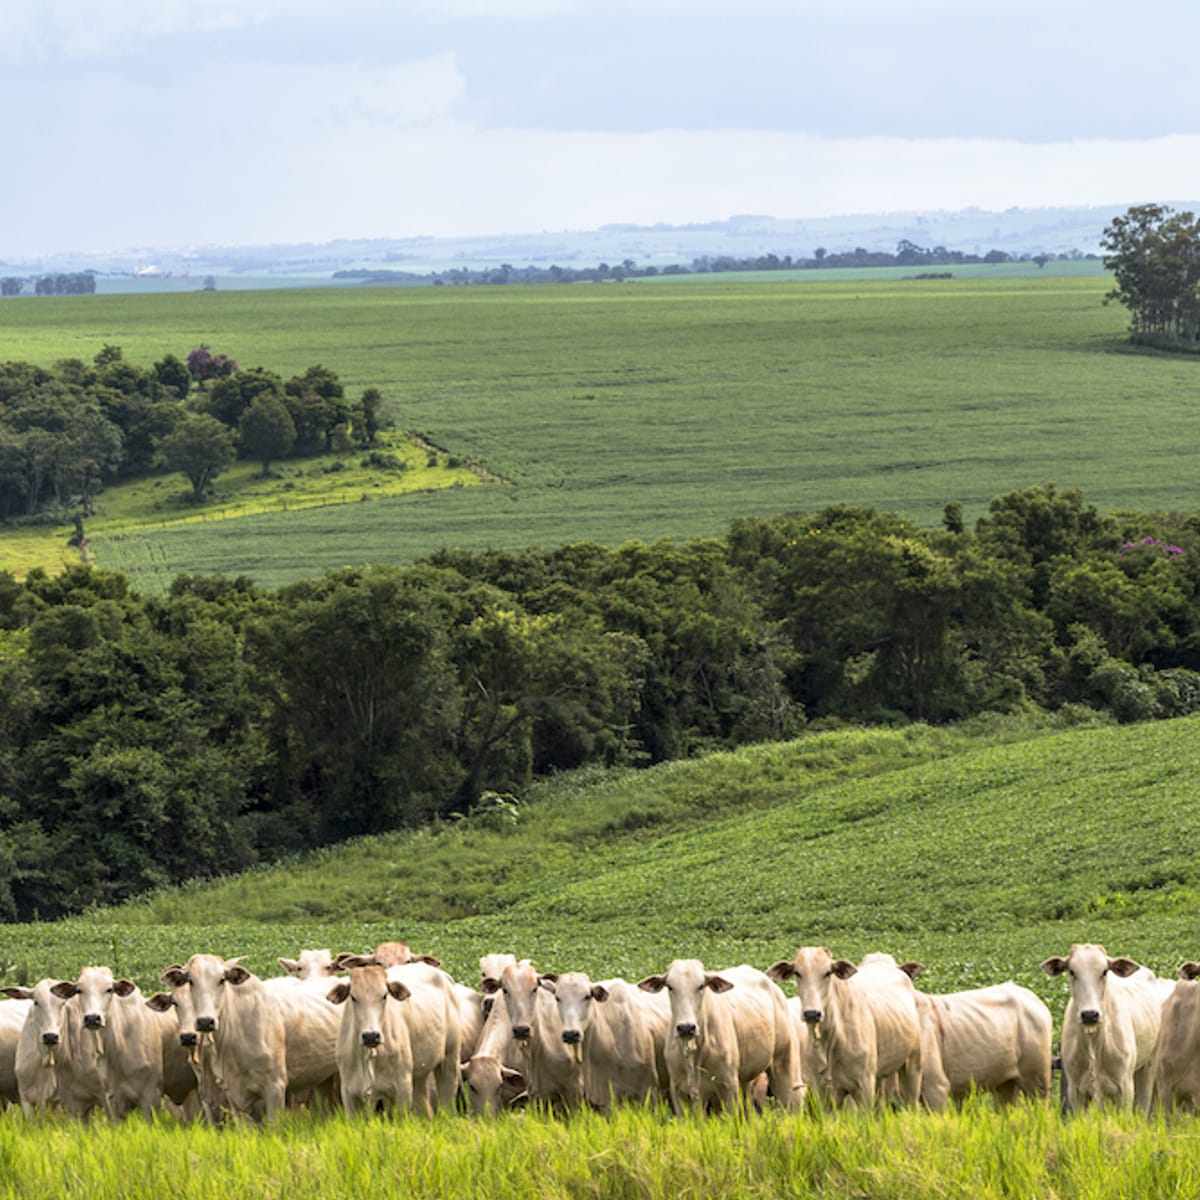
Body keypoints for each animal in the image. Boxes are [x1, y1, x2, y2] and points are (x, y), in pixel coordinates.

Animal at [633, 955, 801, 1113]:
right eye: (669, 986)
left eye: (701, 986)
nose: (686, 1028)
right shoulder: (679, 1092)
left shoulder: (728, 1088)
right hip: (745, 1079)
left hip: (783, 1064)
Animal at [763, 950, 921, 1108]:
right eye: (797, 973)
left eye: (828, 973)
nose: (812, 1013)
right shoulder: (822, 1090)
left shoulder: (864, 1084)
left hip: (912, 1066)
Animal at [1041, 940, 1171, 1108]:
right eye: (1072, 971)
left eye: (1104, 972)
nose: (1090, 1014)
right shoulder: (1075, 1091)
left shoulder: (1125, 1088)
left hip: (1148, 1066)